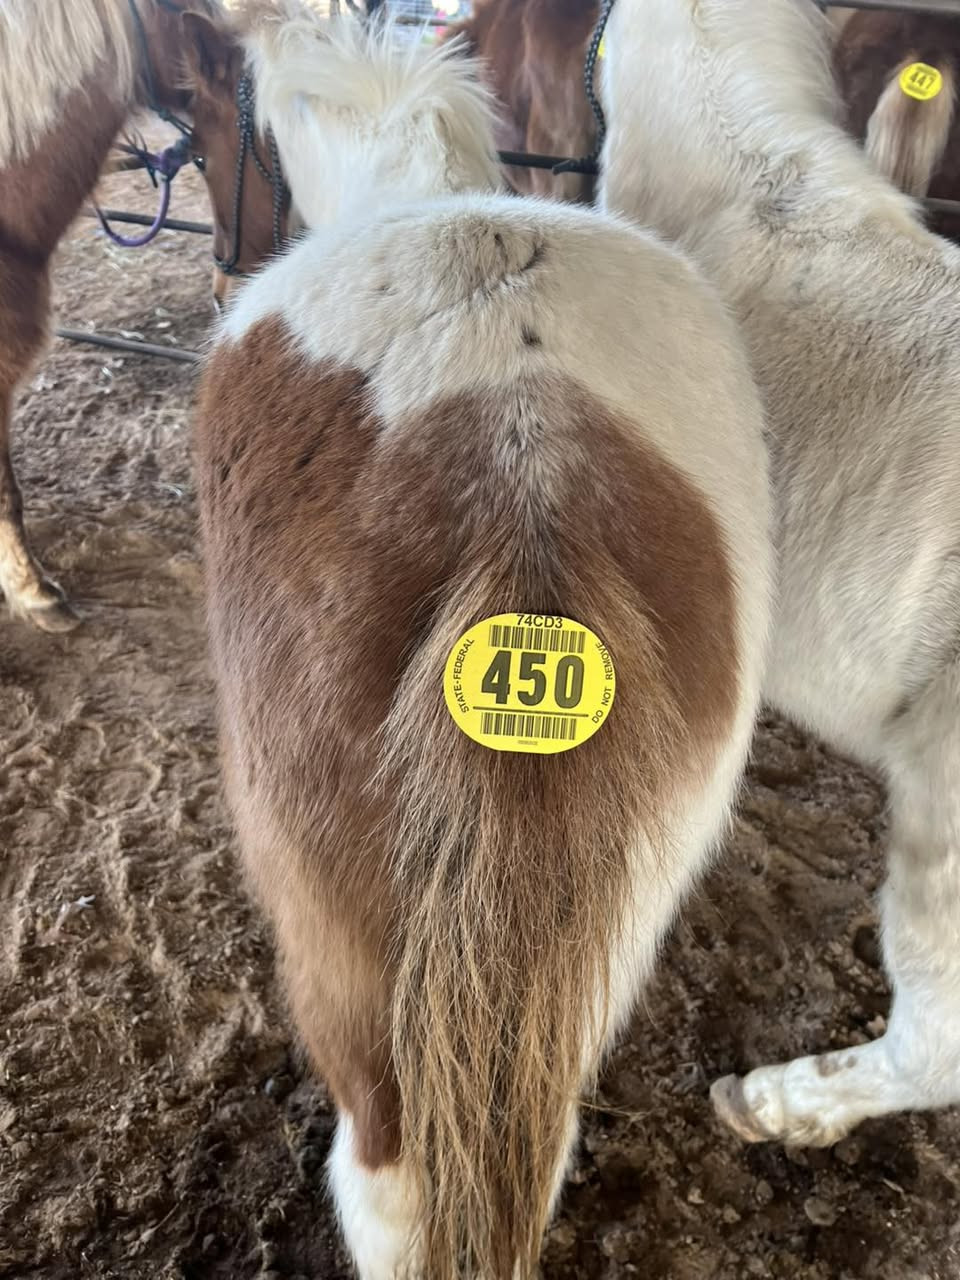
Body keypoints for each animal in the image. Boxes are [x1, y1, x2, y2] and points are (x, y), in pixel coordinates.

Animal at [192, 7, 771, 1274]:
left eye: (233, 114)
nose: (222, 251)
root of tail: (524, 465)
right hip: (600, 936)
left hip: (358, 974)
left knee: (387, 1184)